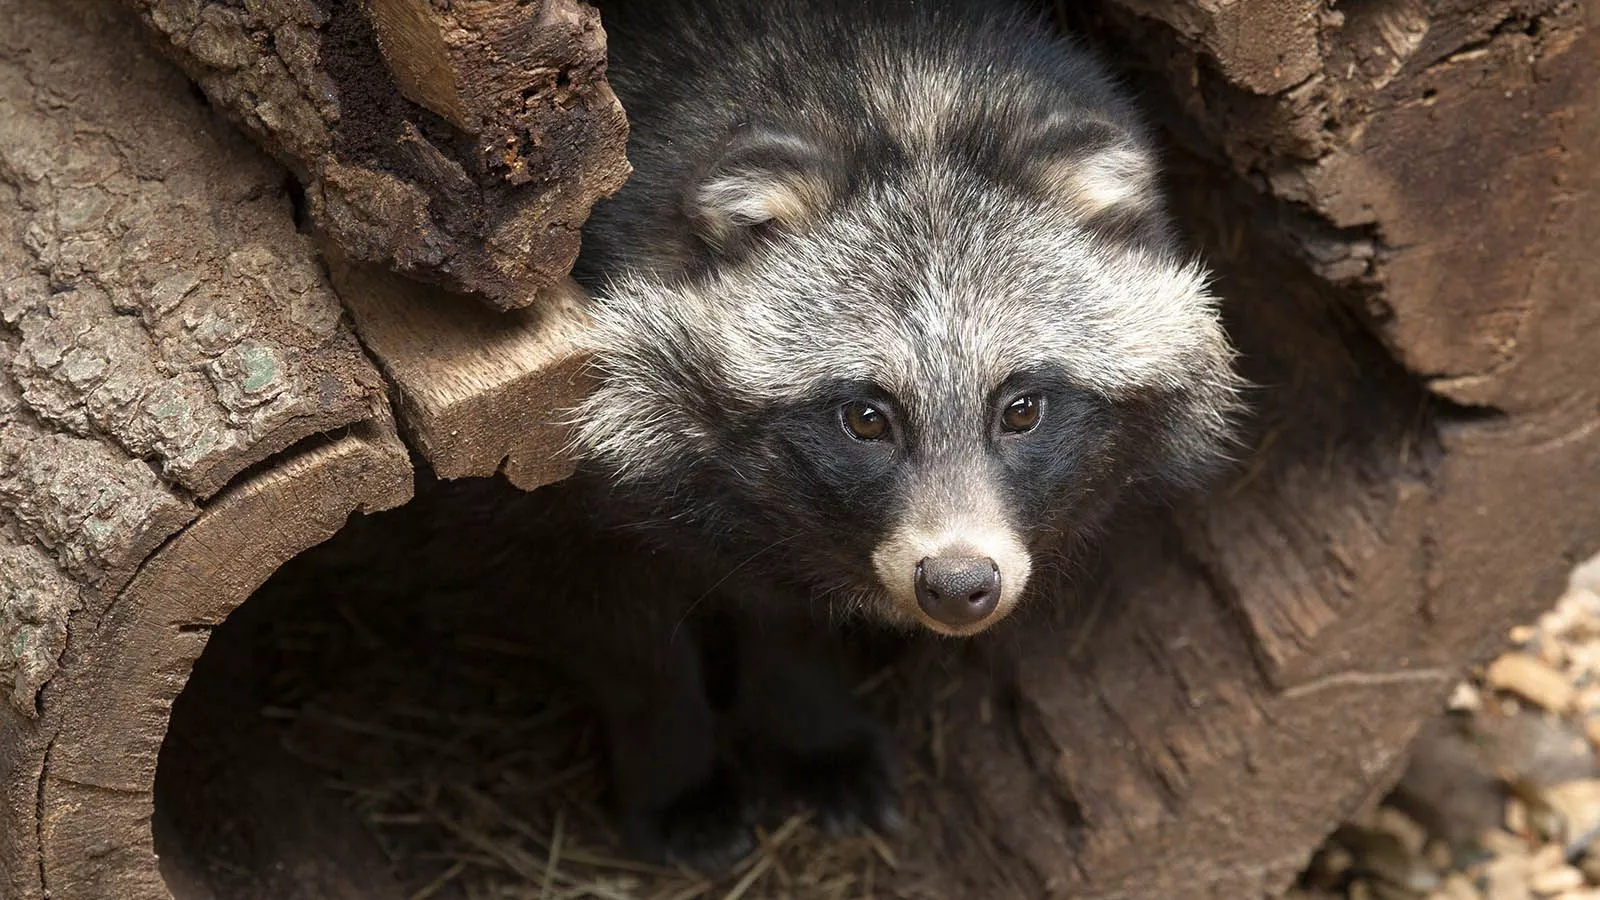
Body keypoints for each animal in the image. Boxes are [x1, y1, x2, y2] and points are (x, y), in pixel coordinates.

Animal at [550, 0, 1243, 870]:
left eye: (1021, 409)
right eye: (867, 418)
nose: (957, 583)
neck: (906, 89)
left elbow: (792, 620)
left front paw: (808, 724)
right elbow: (625, 632)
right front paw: (674, 765)